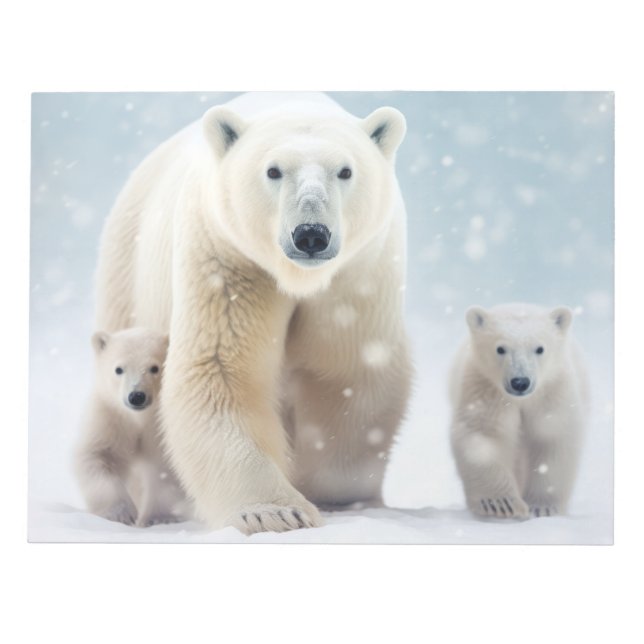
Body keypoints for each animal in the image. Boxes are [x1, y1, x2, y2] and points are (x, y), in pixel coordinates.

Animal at [75, 328, 188, 527]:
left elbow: (164, 470)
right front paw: (120, 513)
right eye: (119, 369)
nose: (136, 396)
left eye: (155, 367)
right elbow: (96, 457)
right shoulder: (110, 418)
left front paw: (158, 518)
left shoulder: (159, 429)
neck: (138, 419)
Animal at [92, 92, 413, 534]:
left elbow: (348, 373)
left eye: (346, 170)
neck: (298, 279)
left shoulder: (357, 277)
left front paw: (338, 499)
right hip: (128, 271)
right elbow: (221, 371)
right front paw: (274, 512)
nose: (310, 234)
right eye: (273, 170)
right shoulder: (227, 259)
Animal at [449, 303, 588, 519]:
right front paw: (501, 504)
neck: (521, 400)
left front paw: (543, 507)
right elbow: (483, 436)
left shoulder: (553, 392)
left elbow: (552, 438)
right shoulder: (485, 388)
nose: (520, 382)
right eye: (500, 348)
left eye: (540, 348)